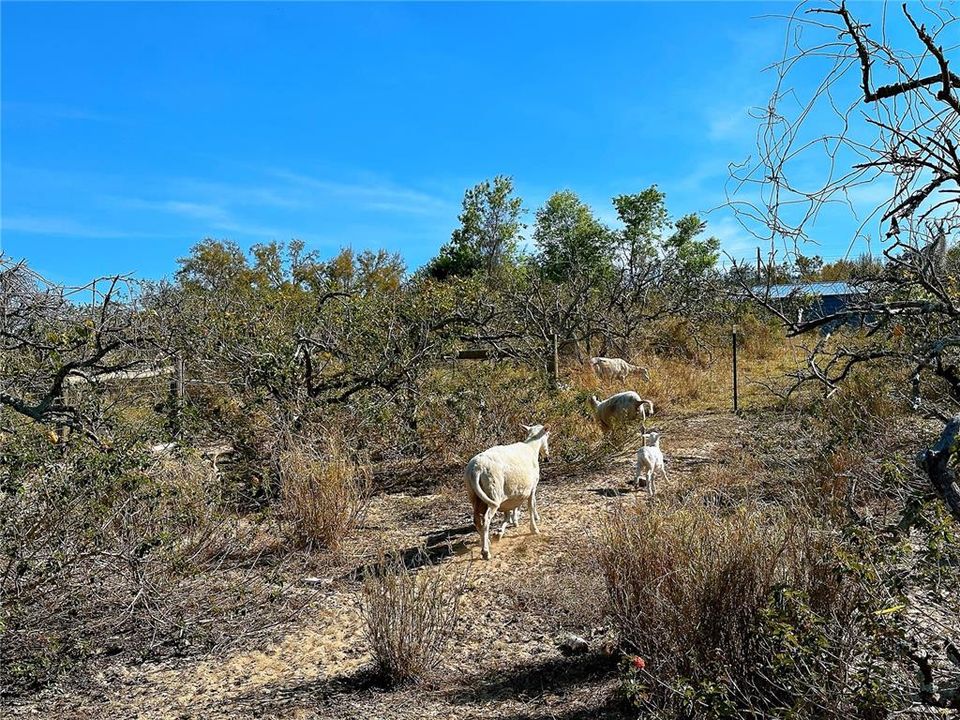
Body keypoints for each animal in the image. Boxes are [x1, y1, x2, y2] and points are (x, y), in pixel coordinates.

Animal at [464, 424, 552, 560]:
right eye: (547, 435)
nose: (547, 456)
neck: (532, 447)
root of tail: (476, 468)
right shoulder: (532, 487)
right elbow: (531, 506)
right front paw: (534, 528)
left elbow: (514, 509)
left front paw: (507, 526)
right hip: (493, 494)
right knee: (486, 520)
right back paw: (486, 552)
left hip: (475, 496)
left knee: (477, 520)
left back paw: (487, 541)